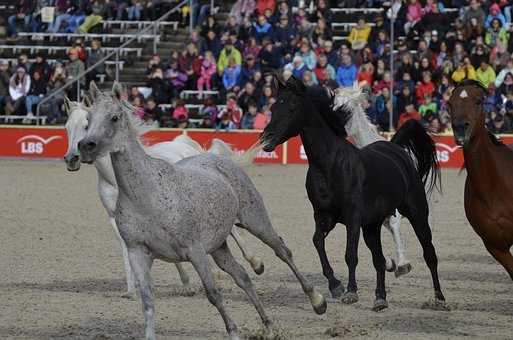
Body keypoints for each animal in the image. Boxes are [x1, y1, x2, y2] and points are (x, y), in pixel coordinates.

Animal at [63, 95, 262, 298]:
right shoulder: (117, 219)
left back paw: (255, 263)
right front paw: (133, 288)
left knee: (232, 229)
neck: (115, 177)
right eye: (67, 126)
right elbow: (128, 249)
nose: (72, 159)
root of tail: (186, 144)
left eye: (86, 125)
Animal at [260, 76, 444, 310]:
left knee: (429, 254)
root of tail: (396, 149)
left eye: (292, 107)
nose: (266, 139)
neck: (330, 165)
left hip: (417, 214)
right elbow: (317, 242)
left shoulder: (353, 217)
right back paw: (380, 298)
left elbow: (350, 254)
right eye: (274, 107)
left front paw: (350, 292)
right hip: (372, 226)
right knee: (379, 259)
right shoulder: (324, 216)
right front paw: (336, 286)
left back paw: (439, 298)